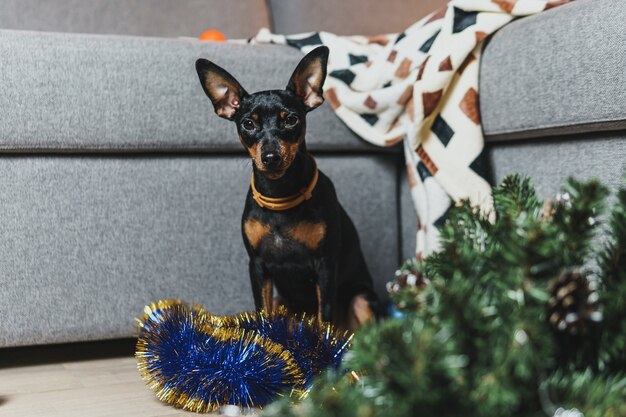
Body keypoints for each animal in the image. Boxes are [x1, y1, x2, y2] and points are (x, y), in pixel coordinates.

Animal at [195, 46, 376, 328]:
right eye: (248, 124)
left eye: (291, 120)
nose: (271, 157)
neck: (281, 196)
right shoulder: (258, 266)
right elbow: (262, 313)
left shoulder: (325, 266)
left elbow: (324, 319)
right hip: (282, 300)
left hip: (362, 300)